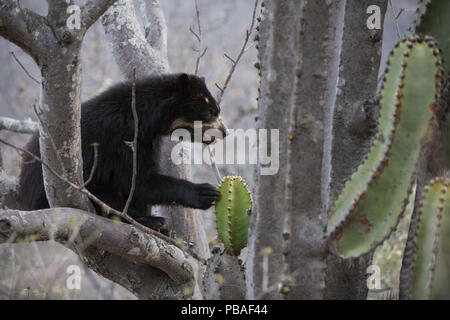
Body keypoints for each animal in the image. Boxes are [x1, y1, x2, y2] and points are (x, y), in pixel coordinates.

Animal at [18, 73, 229, 232]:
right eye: (210, 111)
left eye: (218, 110)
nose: (225, 132)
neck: (146, 118)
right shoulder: (122, 138)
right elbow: (137, 181)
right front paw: (205, 192)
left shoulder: (147, 141)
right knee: (107, 199)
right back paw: (154, 222)